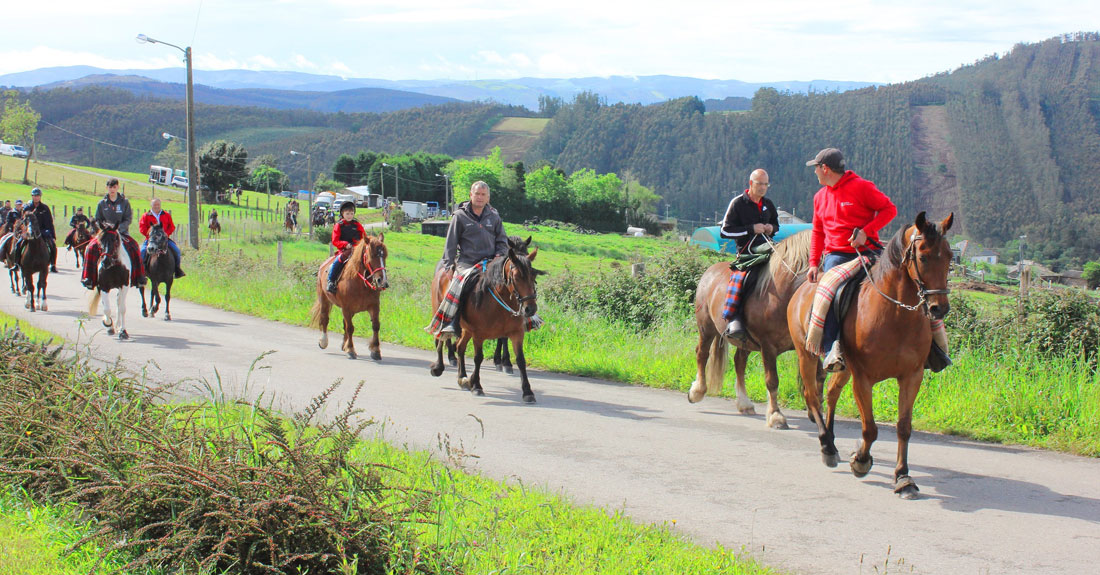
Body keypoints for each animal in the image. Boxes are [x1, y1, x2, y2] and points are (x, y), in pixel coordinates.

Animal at [426, 247, 539, 400]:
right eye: (516, 277)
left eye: (533, 277)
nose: (530, 308)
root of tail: (441, 273)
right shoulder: (478, 334)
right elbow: (478, 358)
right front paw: (477, 386)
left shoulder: (516, 333)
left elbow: (521, 360)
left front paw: (527, 392)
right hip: (440, 314)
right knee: (440, 339)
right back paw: (439, 367)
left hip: (466, 330)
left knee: (460, 347)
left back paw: (462, 377)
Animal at [686, 229, 818, 426]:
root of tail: (709, 272)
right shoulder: (768, 345)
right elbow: (772, 381)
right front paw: (775, 415)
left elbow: (816, 379)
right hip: (706, 327)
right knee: (702, 354)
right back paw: (697, 391)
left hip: (744, 341)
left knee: (739, 362)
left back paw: (744, 403)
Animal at [783, 211, 954, 499]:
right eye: (923, 256)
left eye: (950, 257)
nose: (938, 308)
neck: (895, 316)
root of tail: (803, 289)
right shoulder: (863, 378)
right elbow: (870, 428)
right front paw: (861, 461)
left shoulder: (912, 376)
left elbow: (904, 427)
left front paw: (903, 477)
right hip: (807, 355)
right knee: (813, 395)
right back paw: (826, 446)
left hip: (843, 367)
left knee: (831, 392)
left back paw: (832, 441)